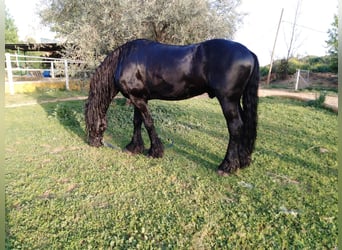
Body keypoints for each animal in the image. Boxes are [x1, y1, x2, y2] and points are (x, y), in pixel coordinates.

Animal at [85, 39, 260, 176]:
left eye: (90, 122)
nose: (93, 143)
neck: (124, 60)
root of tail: (249, 52)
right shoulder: (138, 98)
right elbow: (137, 122)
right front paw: (134, 147)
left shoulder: (138, 99)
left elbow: (148, 123)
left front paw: (155, 151)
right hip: (235, 101)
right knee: (244, 124)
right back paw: (243, 160)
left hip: (228, 100)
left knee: (235, 127)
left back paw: (227, 166)